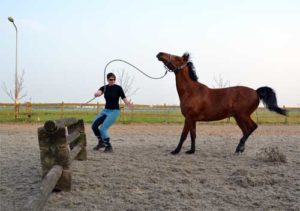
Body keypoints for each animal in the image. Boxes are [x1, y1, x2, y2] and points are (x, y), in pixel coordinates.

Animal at [156, 52, 288, 155]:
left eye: (176, 57)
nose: (159, 54)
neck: (191, 91)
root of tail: (256, 91)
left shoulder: (189, 117)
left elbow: (184, 135)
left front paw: (176, 151)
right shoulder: (191, 119)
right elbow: (192, 135)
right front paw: (191, 151)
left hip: (243, 115)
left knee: (252, 127)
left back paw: (239, 148)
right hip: (238, 117)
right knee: (246, 130)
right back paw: (240, 149)